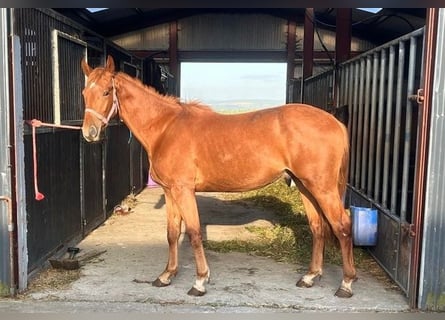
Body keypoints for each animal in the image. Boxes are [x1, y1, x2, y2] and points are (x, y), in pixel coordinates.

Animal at [80, 56, 358, 298]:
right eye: (84, 94)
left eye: (107, 92)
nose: (89, 133)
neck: (165, 128)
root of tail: (334, 121)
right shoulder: (170, 192)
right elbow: (172, 232)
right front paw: (166, 276)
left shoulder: (183, 190)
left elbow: (193, 233)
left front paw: (200, 281)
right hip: (304, 186)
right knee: (318, 227)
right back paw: (310, 277)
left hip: (322, 188)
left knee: (343, 226)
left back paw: (346, 284)